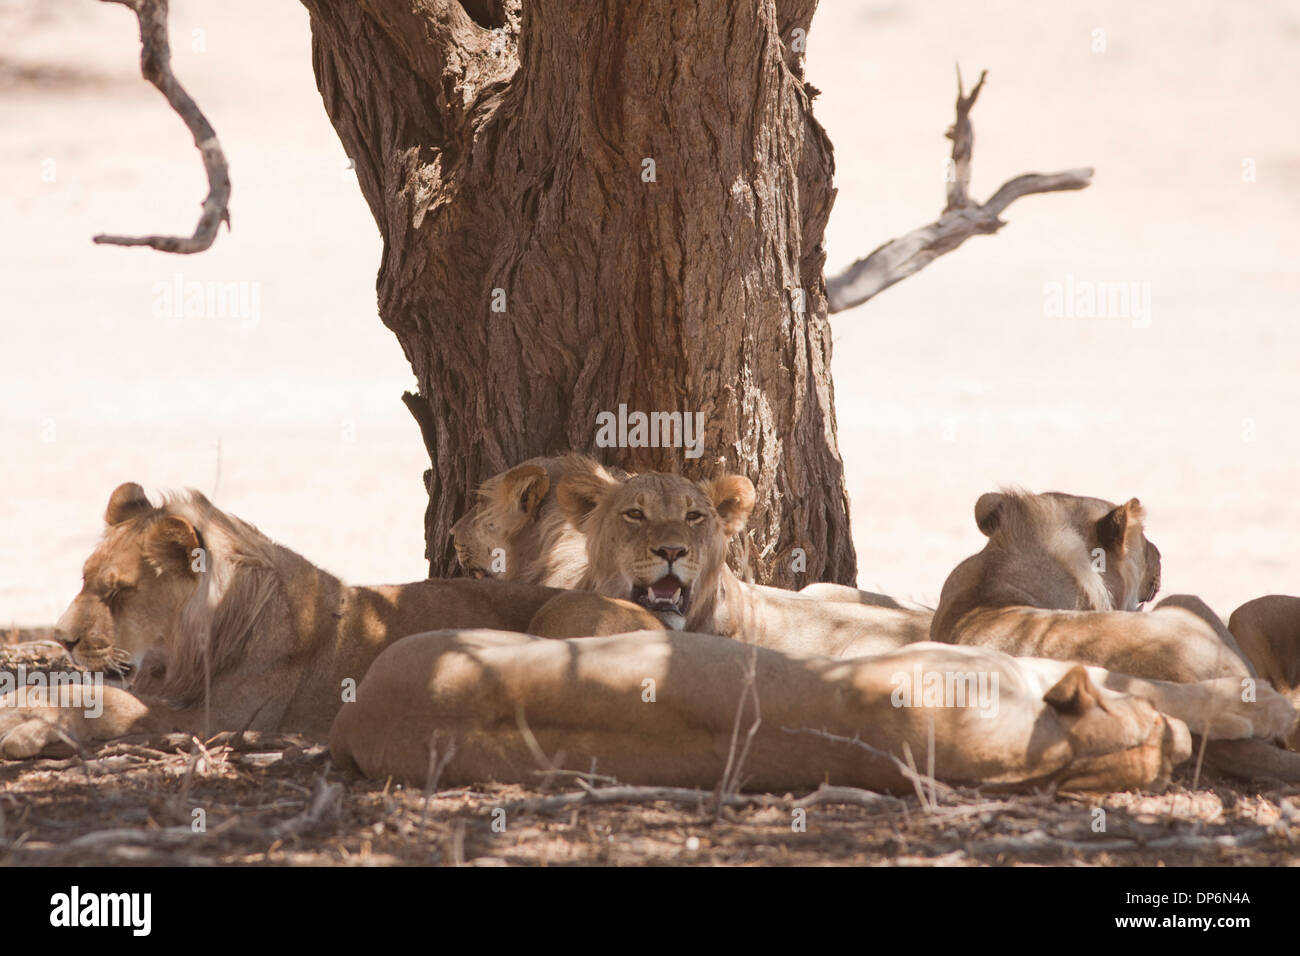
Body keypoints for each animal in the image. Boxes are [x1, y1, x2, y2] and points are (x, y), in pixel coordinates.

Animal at [0, 481, 559, 759]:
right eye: (84, 578)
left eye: (119, 591)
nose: (61, 639)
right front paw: (22, 707)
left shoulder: (218, 720)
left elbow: (107, 698)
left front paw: (24, 725)